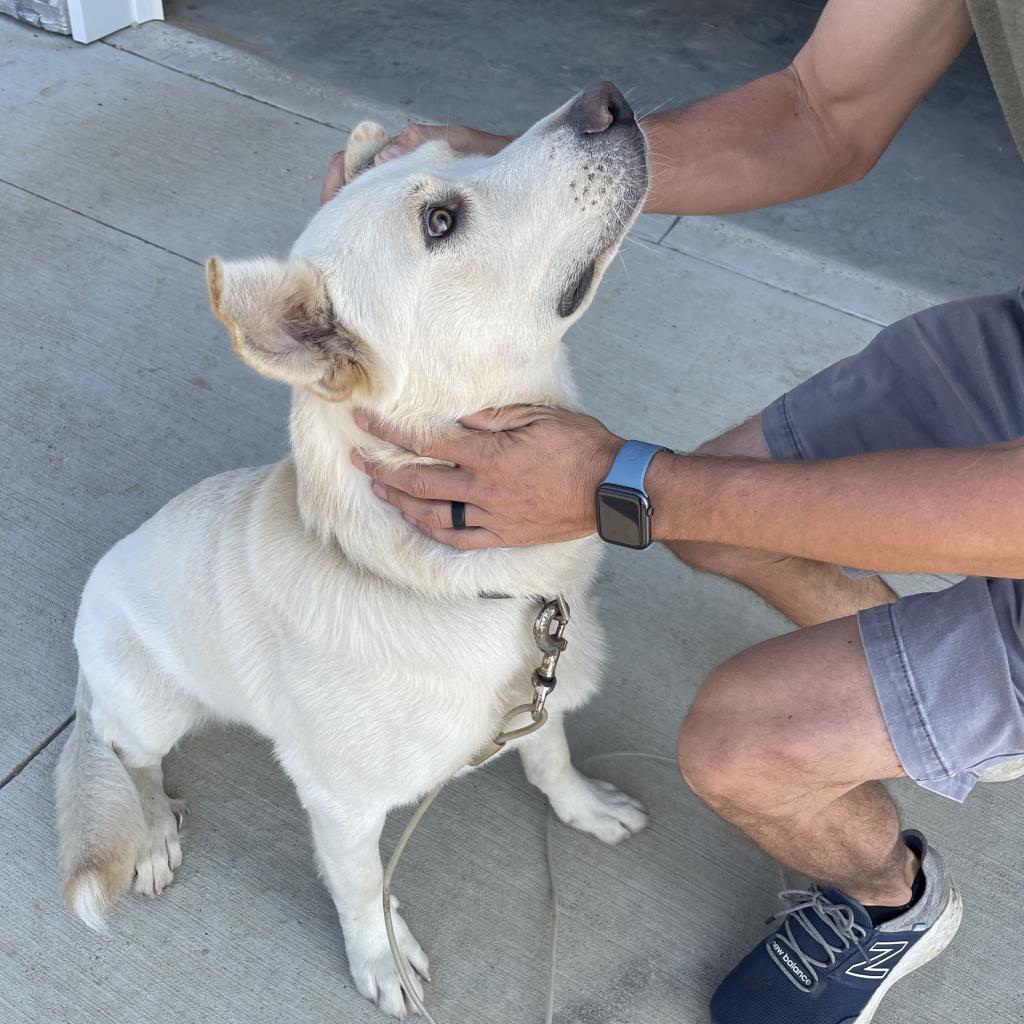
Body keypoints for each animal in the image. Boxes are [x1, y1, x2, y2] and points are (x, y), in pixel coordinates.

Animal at [54, 79, 647, 1015]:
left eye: (461, 154)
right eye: (441, 220)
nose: (607, 98)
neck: (438, 583)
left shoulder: (536, 701)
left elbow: (549, 758)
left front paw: (584, 807)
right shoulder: (340, 804)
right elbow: (363, 888)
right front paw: (383, 961)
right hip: (148, 702)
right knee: (130, 757)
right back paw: (147, 831)